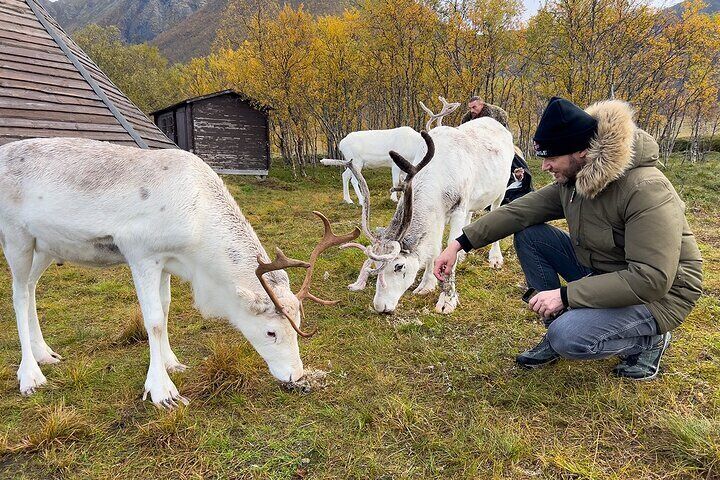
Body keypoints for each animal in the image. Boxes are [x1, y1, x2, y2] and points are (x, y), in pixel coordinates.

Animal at [0, 137, 359, 408]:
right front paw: (162, 390)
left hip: (45, 246)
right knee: (18, 295)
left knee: (30, 288)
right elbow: (154, 321)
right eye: (271, 332)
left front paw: (173, 362)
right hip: (16, 237)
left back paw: (45, 354)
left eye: (297, 323)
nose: (296, 376)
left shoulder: (167, 261)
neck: (198, 233)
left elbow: (167, 308)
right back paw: (30, 375)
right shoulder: (141, 254)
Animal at [327, 117, 514, 315]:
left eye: (399, 266)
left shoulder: (458, 207)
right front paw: (426, 285)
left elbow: (449, 249)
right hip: (473, 201)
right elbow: (435, 248)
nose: (380, 307)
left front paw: (447, 300)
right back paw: (464, 254)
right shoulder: (438, 214)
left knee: (496, 213)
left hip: (501, 190)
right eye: (374, 265)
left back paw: (495, 258)